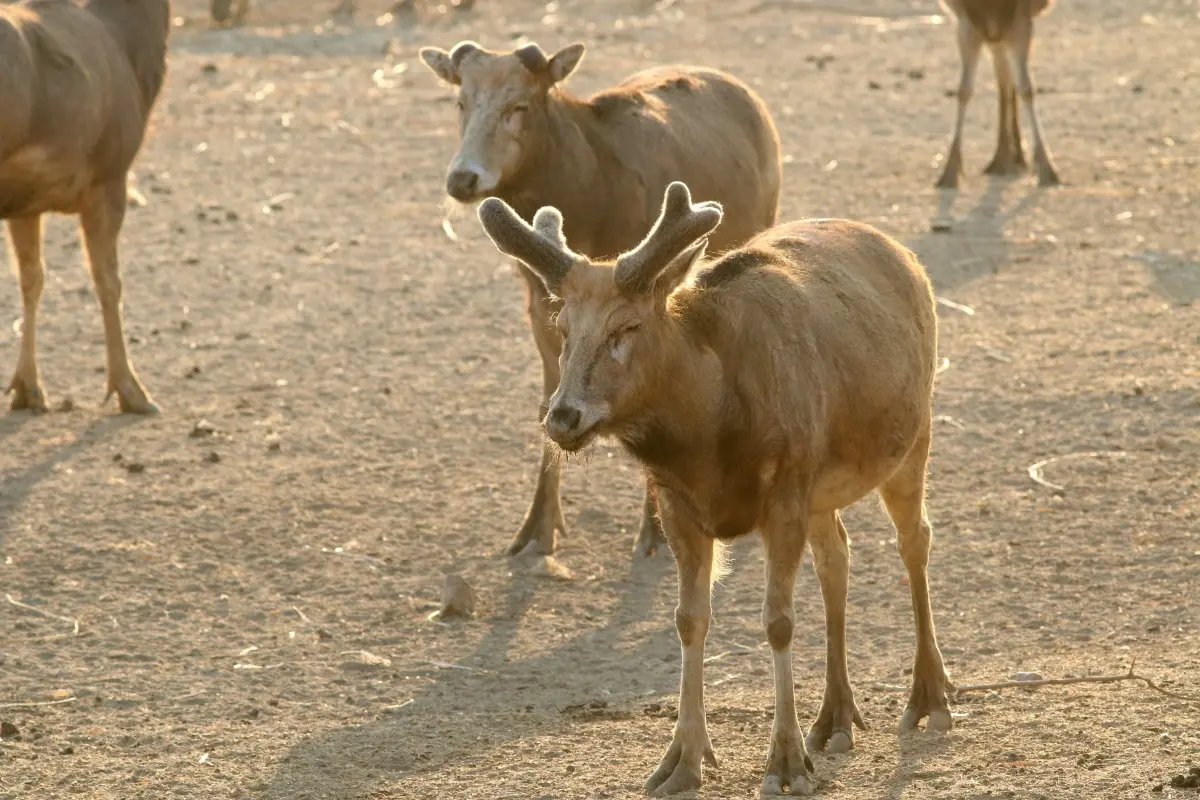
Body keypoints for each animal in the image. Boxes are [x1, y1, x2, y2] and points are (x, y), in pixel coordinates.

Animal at [0, 0, 171, 412]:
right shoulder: (108, 178)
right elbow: (108, 281)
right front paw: (132, 391)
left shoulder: (24, 203)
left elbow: (32, 277)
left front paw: (28, 389)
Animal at [417, 40, 782, 561]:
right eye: (460, 101)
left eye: (519, 106)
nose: (463, 178)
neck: (588, 199)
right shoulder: (542, 304)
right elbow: (548, 395)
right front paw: (536, 530)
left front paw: (653, 532)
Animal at [477, 183, 955, 796]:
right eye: (563, 330)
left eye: (626, 328)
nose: (562, 416)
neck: (709, 436)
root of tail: (904, 255)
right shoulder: (677, 503)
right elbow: (689, 619)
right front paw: (682, 759)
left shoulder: (784, 491)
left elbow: (777, 622)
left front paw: (786, 763)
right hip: (822, 488)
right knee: (838, 557)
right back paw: (836, 717)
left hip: (913, 435)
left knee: (915, 539)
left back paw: (930, 699)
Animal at [936, 0, 1060, 189]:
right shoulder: (967, 21)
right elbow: (964, 91)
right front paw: (949, 171)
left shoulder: (1020, 17)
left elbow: (1027, 88)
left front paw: (1047, 170)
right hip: (993, 32)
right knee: (1003, 74)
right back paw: (1004, 157)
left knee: (1008, 76)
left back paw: (1013, 156)